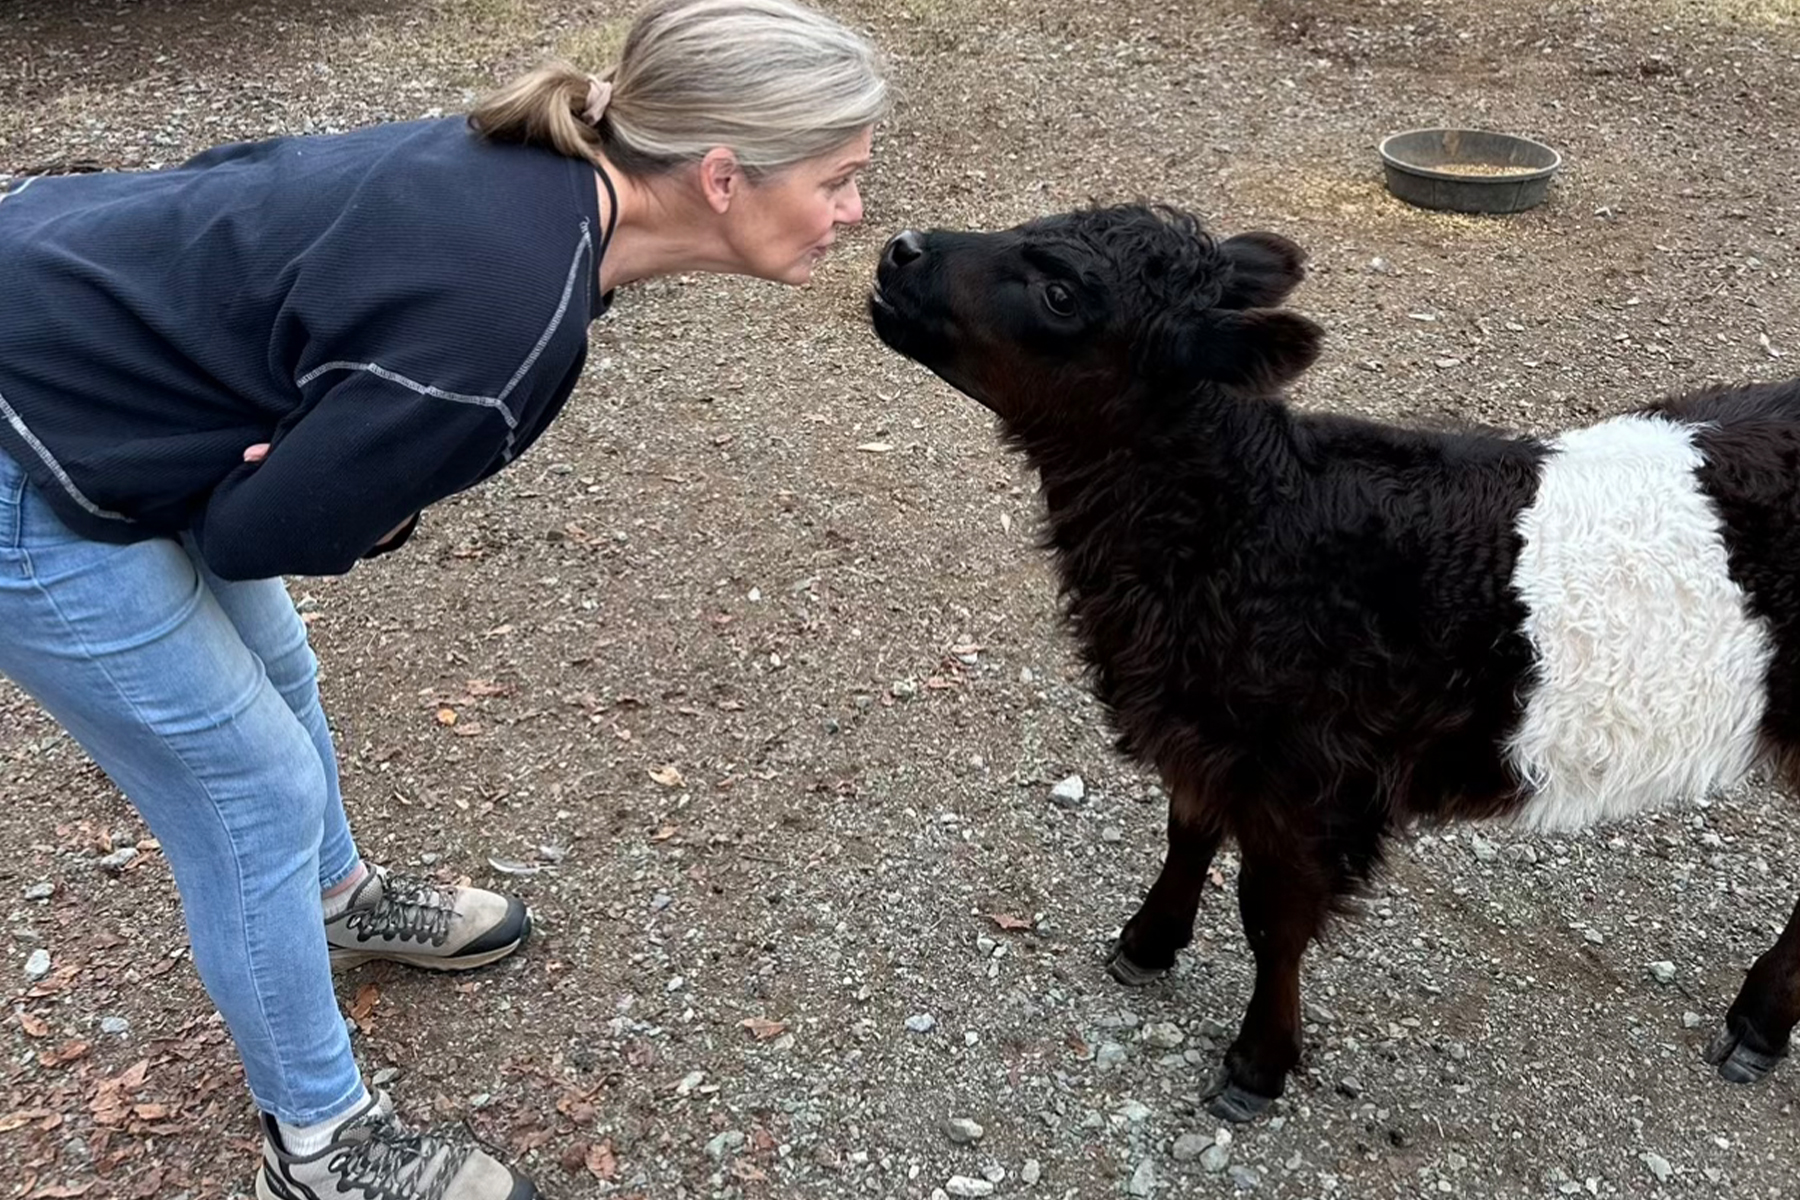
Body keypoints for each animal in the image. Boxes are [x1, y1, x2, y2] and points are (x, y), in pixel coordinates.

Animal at [864, 201, 1800, 1122]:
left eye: (1061, 294)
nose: (898, 250)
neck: (1252, 519)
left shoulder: (1310, 773)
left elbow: (1271, 916)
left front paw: (1257, 1065)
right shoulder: (1211, 732)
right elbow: (1188, 832)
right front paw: (1148, 943)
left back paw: (1757, 1026)